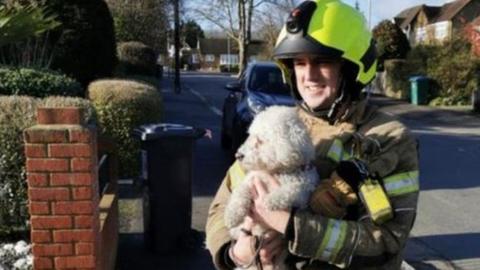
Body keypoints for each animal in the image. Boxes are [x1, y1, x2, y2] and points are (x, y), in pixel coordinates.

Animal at [225, 105, 318, 270]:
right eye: (250, 136)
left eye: (260, 141)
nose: (238, 155)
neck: (278, 171)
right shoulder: (251, 180)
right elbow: (239, 194)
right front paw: (232, 214)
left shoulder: (305, 190)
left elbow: (292, 190)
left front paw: (271, 201)